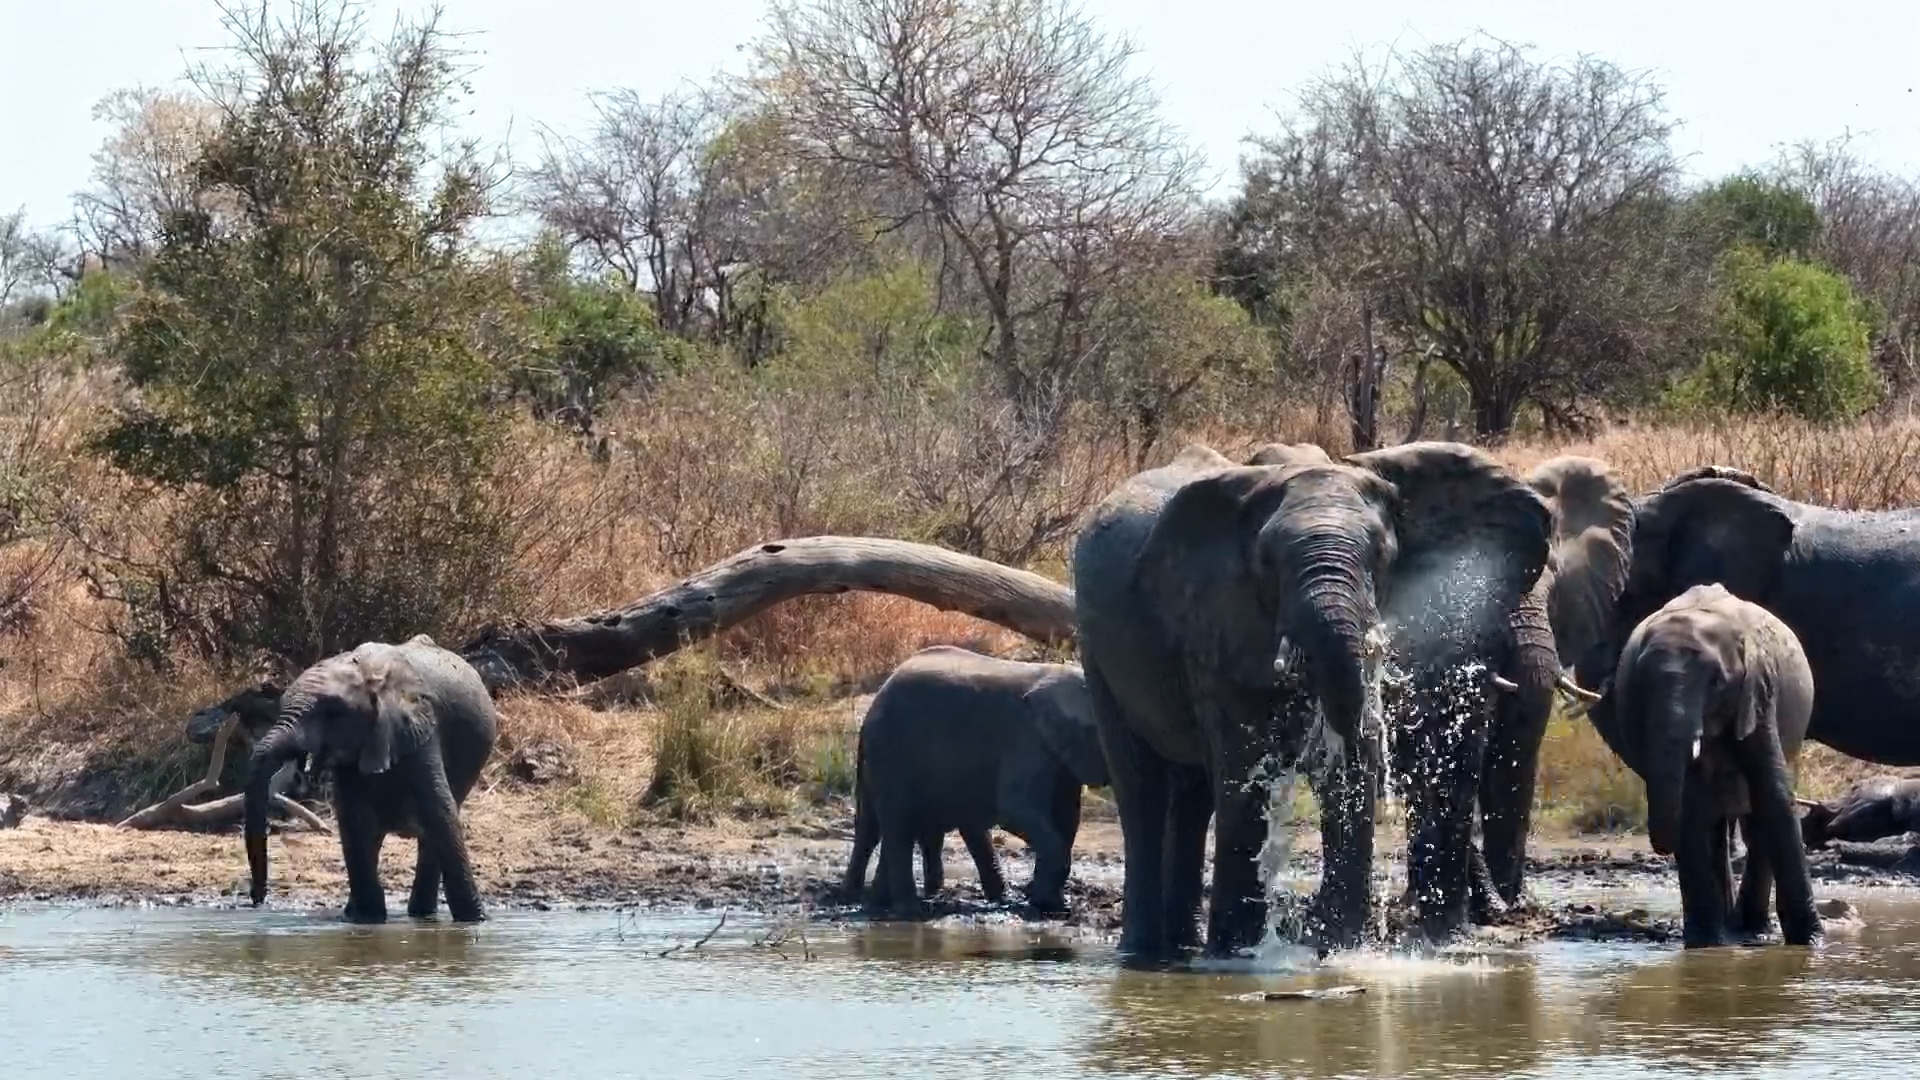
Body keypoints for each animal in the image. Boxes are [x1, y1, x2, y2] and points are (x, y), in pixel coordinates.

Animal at [243, 634, 499, 923]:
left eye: (333, 713)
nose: (256, 898)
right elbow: (354, 820)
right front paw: (367, 919)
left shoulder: (417, 730)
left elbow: (440, 813)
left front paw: (475, 921)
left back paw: (422, 915)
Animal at [841, 646, 1110, 917]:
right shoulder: (1027, 743)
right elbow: (1015, 810)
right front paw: (1047, 905)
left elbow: (1068, 818)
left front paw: (1050, 903)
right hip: (891, 751)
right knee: (896, 824)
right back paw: (905, 910)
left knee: (877, 826)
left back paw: (873, 902)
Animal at [1070, 439, 1558, 959]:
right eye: (1266, 563)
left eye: (1381, 556)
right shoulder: (1216, 619)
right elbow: (1245, 765)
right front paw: (1238, 954)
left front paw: (1341, 946)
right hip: (1096, 647)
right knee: (1140, 788)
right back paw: (1147, 953)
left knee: (1192, 796)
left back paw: (1182, 947)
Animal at [1586, 583, 1820, 947]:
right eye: (1641, 684)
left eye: (1716, 683)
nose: (1661, 845)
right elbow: (1692, 808)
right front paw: (1705, 945)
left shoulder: (1758, 694)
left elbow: (1774, 796)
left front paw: (1812, 943)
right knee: (1715, 822)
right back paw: (1727, 929)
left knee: (1753, 821)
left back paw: (1750, 929)